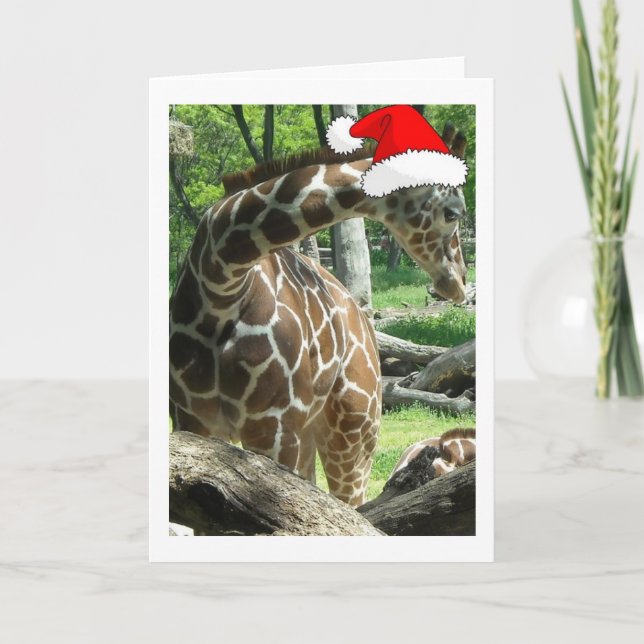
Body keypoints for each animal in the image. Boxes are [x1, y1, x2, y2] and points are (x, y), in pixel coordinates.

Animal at [169, 148, 468, 507]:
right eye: (452, 213)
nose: (460, 282)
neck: (221, 283)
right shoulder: (190, 420)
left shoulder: (273, 427)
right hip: (312, 434)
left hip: (354, 434)